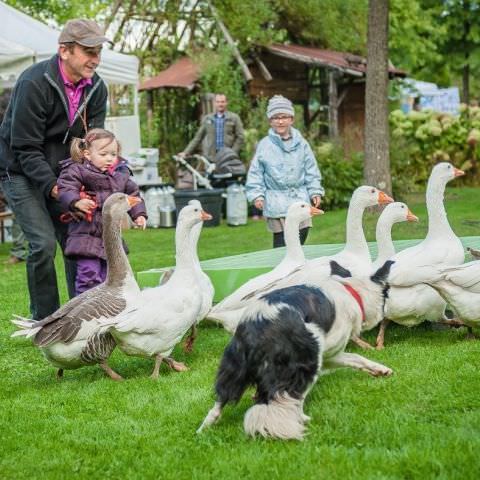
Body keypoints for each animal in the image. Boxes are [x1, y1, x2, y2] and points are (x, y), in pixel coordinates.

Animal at [197, 260, 392, 440]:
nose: (386, 315)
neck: (350, 290)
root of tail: (258, 325)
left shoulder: (332, 356)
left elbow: (357, 358)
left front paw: (380, 369)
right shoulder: (327, 352)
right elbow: (354, 356)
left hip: (234, 369)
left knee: (219, 401)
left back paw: (204, 429)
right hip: (307, 362)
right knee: (291, 398)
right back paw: (300, 420)